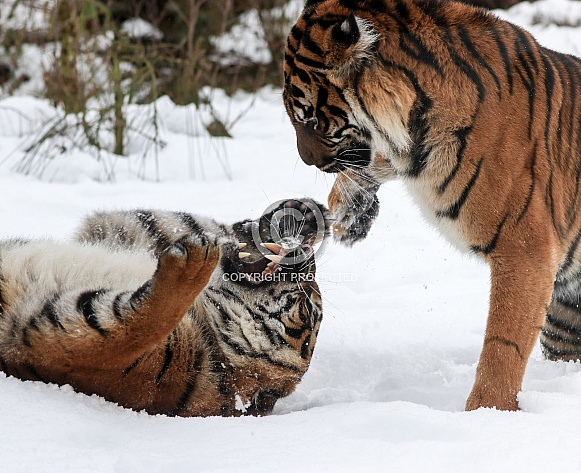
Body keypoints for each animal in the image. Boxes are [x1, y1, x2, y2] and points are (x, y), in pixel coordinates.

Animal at [0, 199, 326, 416]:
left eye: (307, 305)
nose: (306, 254)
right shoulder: (122, 235)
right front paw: (302, 212)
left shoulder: (73, 351)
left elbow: (146, 324)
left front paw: (195, 261)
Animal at [282, 0, 581, 410]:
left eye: (309, 116)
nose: (307, 161)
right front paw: (348, 213)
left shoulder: (525, 249)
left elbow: (503, 347)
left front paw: (487, 413)